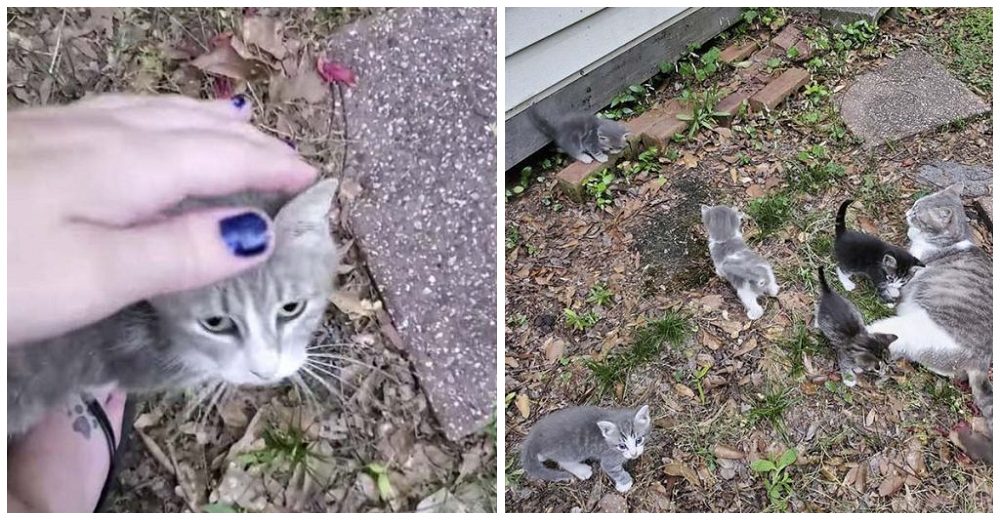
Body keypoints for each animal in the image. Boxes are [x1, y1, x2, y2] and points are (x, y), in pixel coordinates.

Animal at [520, 404, 652, 494]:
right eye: (622, 446)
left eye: (638, 440)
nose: (634, 454)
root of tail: (534, 435)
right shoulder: (608, 458)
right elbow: (615, 470)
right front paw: (625, 483)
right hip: (570, 451)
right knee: (563, 462)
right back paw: (582, 470)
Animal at [868, 183, 992, 460]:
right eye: (914, 205)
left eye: (917, 213)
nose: (907, 212)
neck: (953, 240)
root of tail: (981, 361)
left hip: (906, 327)